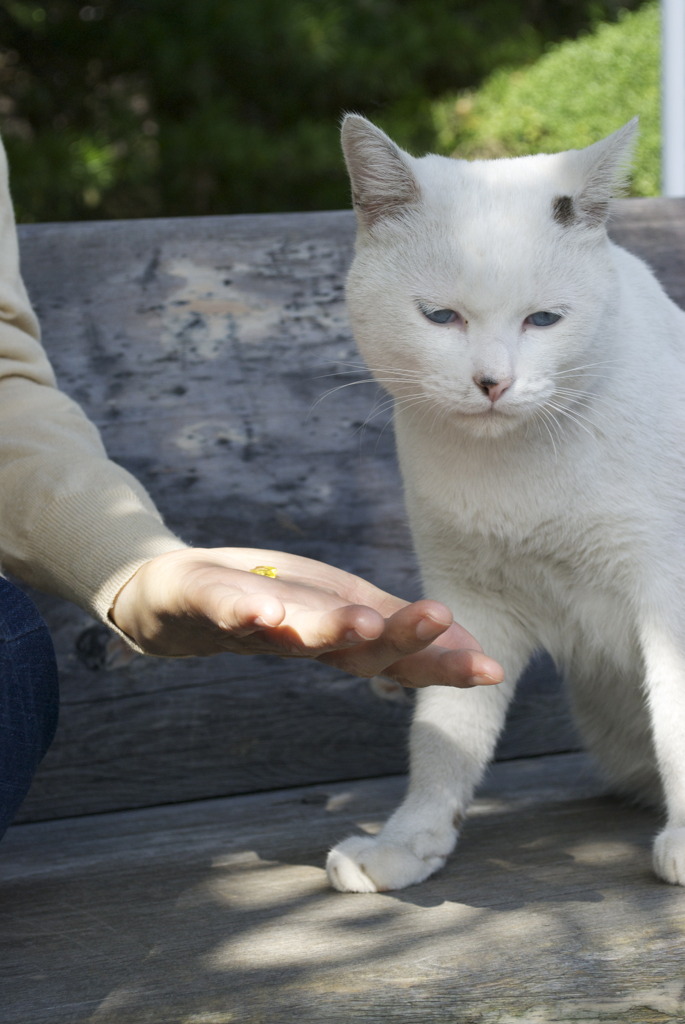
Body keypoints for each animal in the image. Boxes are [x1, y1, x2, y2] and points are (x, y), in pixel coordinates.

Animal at [325, 116, 683, 892]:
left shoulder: (668, 599)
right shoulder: (471, 603)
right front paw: (411, 842)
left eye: (543, 320)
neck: (518, 472)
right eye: (440, 317)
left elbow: (677, 720)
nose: (493, 382)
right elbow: (444, 737)